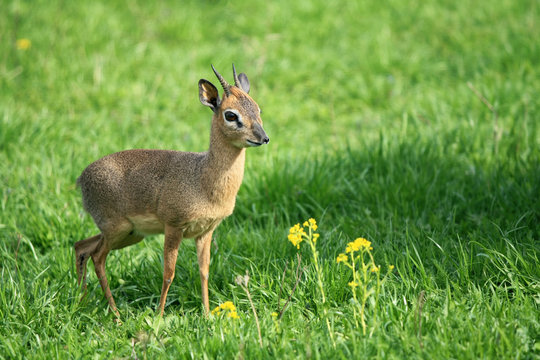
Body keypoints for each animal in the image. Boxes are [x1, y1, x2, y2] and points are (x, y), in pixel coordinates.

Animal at [75, 65, 268, 318]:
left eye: (257, 108)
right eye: (231, 115)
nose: (263, 137)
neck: (203, 180)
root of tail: (81, 178)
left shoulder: (206, 232)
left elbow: (204, 271)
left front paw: (207, 315)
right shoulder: (174, 227)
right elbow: (169, 274)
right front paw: (158, 316)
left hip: (129, 234)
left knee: (81, 247)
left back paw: (82, 302)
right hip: (117, 229)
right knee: (97, 258)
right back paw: (115, 315)